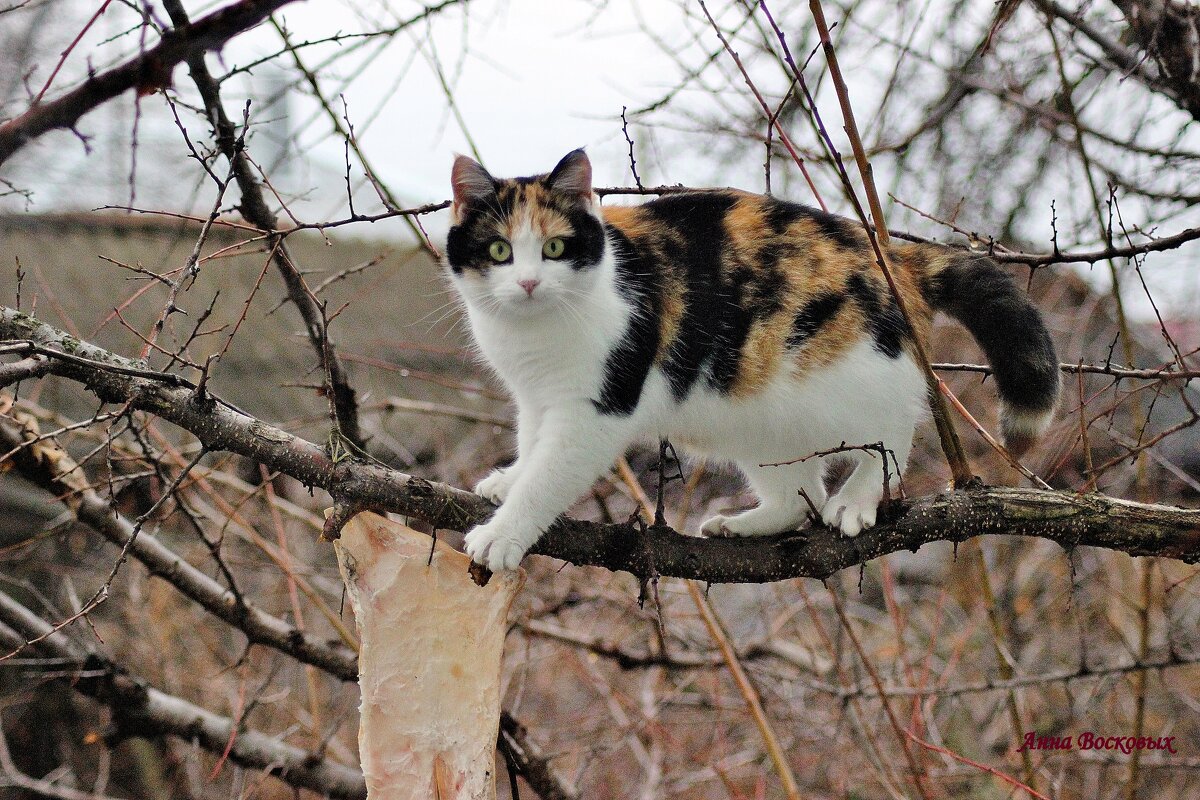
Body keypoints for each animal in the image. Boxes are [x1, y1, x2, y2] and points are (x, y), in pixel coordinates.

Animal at [448, 149, 1060, 573]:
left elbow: (548, 475)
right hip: (758, 420)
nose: (528, 283)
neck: (535, 336)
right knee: (802, 494)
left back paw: (858, 499)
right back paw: (746, 526)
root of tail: (896, 257)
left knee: (894, 429)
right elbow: (531, 446)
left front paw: (501, 536)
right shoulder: (536, 398)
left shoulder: (596, 412)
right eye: (499, 250)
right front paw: (506, 480)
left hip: (856, 376)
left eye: (555, 247)